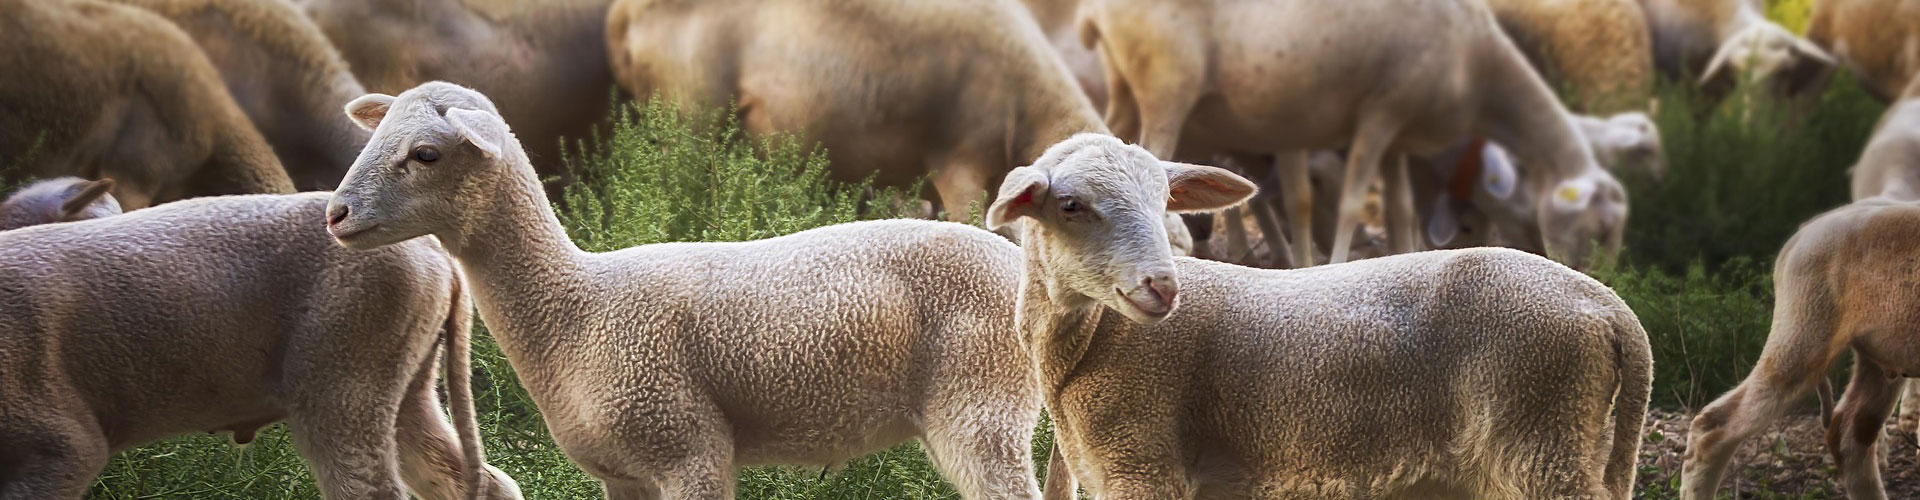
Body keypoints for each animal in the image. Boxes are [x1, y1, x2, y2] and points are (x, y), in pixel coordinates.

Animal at [328, 81, 1053, 499]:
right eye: (377, 132)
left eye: (425, 153)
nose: (335, 213)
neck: (573, 309)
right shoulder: (622, 474)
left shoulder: (689, 447)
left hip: (980, 404)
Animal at [990, 134, 1652, 499]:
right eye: (1070, 206)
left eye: (1164, 202)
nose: (1163, 287)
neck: (1090, 345)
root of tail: (1611, 308)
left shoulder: (1143, 463)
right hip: (1565, 438)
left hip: (1540, 435)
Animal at [1084, 0, 1628, 269]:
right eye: (1600, 228)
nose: (1601, 279)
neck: (1480, 69)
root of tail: (1097, 11)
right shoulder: (1380, 113)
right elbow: (1350, 204)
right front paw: (1338, 264)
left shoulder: (1399, 134)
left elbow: (1400, 210)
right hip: (1167, 88)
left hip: (1126, 88)